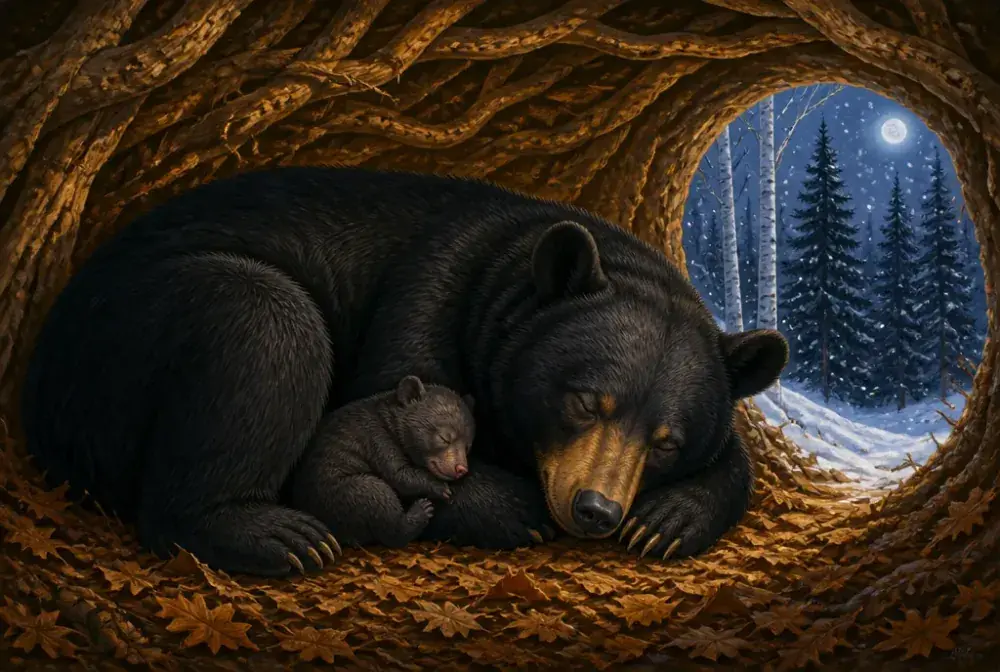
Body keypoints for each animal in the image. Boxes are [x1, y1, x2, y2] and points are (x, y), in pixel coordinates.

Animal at [287, 374, 475, 559]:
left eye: (467, 446)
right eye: (444, 438)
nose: (461, 469)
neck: (388, 421)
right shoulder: (377, 439)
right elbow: (398, 474)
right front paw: (439, 488)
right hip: (337, 493)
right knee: (376, 494)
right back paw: (420, 511)